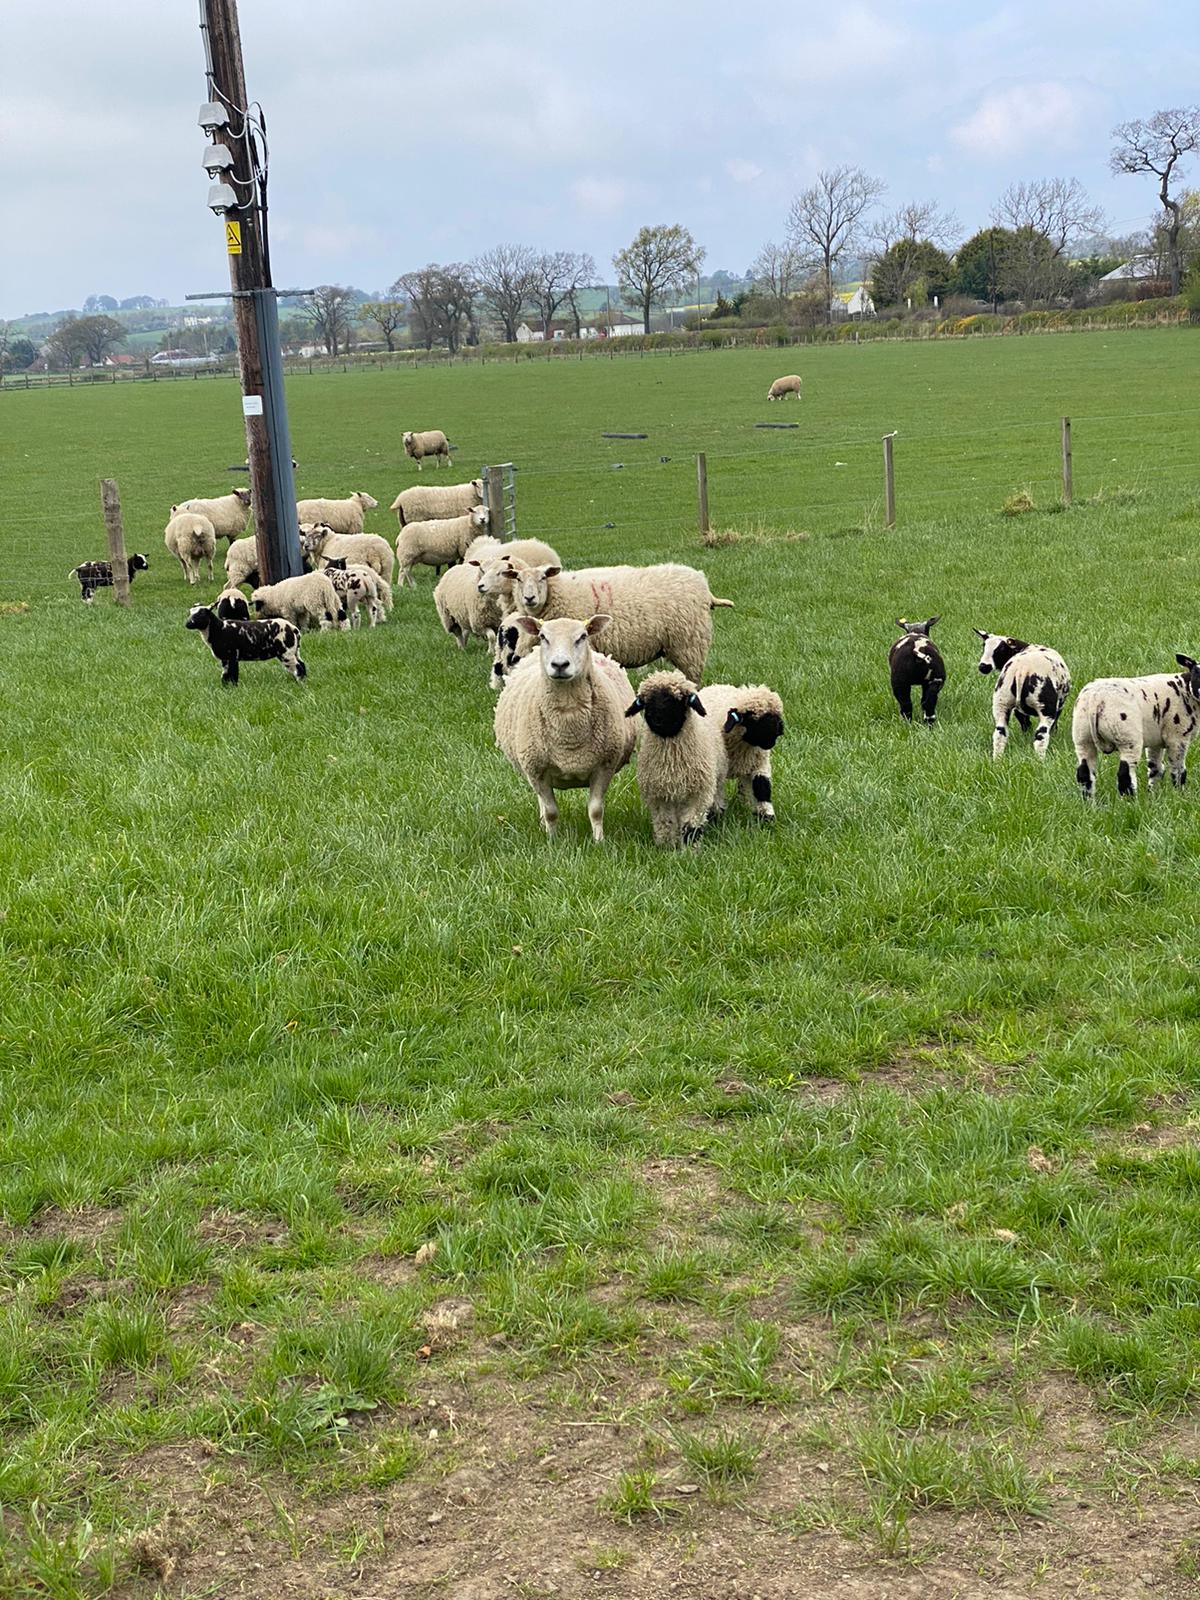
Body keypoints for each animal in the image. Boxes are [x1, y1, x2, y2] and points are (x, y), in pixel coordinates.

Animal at [493, 615, 636, 843]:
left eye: (582, 636)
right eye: (543, 636)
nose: (559, 664)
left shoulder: (604, 766)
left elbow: (596, 810)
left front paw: (599, 841)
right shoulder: (537, 770)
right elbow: (551, 811)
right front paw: (552, 841)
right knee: (541, 803)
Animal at [625, 671, 727, 847]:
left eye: (676, 699)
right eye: (646, 702)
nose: (656, 720)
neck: (672, 761)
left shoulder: (697, 794)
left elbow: (691, 826)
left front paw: (690, 848)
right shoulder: (659, 795)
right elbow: (665, 823)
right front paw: (666, 847)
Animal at [696, 684, 785, 823]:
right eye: (753, 720)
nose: (779, 732)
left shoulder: (760, 763)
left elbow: (762, 786)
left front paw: (766, 816)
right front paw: (716, 817)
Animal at [974, 630, 1071, 760]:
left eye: (1000, 649)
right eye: (984, 646)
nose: (983, 666)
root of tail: (1022, 670)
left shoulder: (1017, 709)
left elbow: (1024, 722)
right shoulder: (1059, 704)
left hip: (1001, 701)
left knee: (1000, 733)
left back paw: (997, 760)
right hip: (1045, 706)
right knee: (1041, 735)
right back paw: (1040, 760)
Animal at [1072, 656, 1200, 799]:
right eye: (1196, 674)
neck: (1185, 691)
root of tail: (1096, 699)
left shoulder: (1155, 740)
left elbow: (1156, 768)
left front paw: (1153, 795)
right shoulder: (1178, 737)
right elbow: (1178, 770)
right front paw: (1179, 794)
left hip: (1082, 736)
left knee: (1084, 773)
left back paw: (1089, 802)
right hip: (1127, 737)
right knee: (1124, 774)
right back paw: (1130, 801)